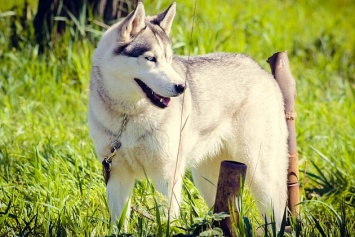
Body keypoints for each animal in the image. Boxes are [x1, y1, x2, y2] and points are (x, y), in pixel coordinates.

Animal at [88, 1, 290, 228]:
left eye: (168, 59)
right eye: (150, 59)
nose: (181, 87)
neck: (128, 116)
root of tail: (262, 71)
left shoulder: (167, 176)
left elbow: (168, 220)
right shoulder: (116, 174)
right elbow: (118, 222)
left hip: (260, 174)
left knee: (274, 212)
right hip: (208, 178)